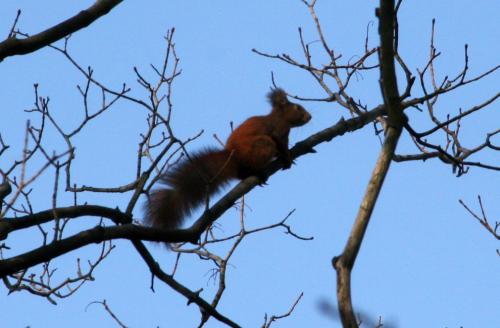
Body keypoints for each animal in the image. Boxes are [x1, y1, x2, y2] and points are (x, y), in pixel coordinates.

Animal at [143, 88, 310, 229]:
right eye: (298, 108)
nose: (310, 116)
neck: (280, 117)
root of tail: (234, 157)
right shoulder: (278, 131)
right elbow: (281, 145)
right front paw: (287, 158)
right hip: (261, 145)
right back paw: (258, 173)